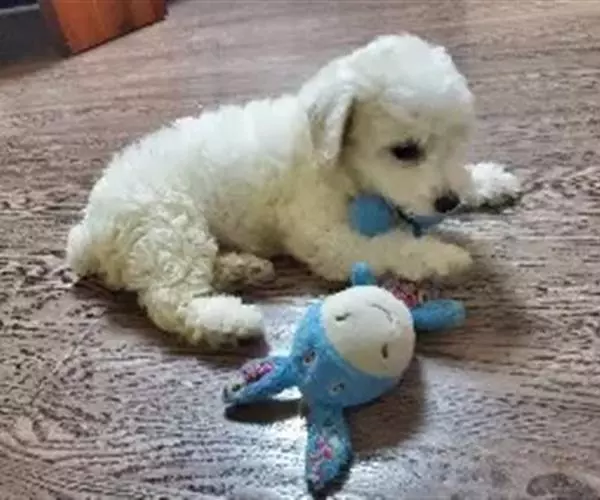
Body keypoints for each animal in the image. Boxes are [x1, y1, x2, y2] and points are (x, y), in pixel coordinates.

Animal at [66, 34, 520, 348]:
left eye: (457, 141)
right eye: (405, 151)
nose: (448, 203)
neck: (333, 157)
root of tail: (87, 232)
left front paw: (487, 181)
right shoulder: (326, 239)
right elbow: (391, 245)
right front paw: (442, 255)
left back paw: (241, 269)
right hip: (169, 227)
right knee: (170, 300)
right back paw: (230, 321)